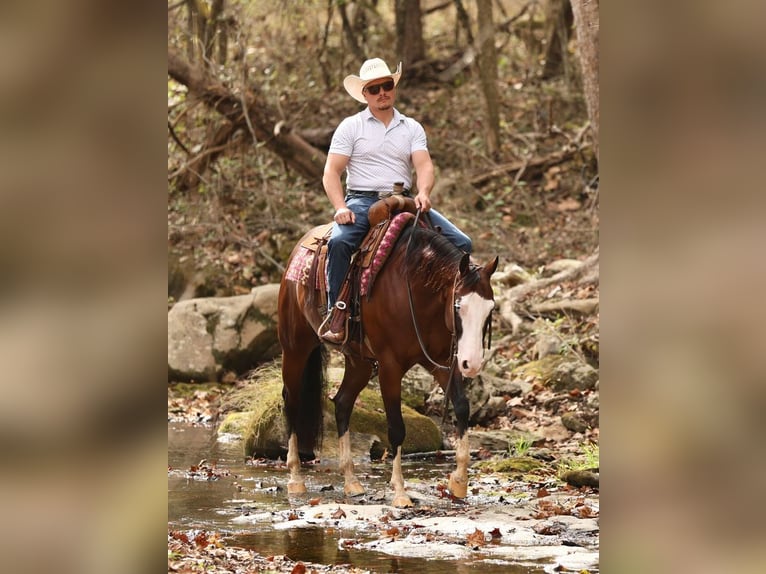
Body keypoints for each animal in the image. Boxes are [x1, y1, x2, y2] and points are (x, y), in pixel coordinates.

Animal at [277, 205, 498, 507]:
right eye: (458, 306)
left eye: (490, 309)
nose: (472, 364)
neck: (415, 290)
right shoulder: (390, 367)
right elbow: (396, 427)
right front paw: (400, 492)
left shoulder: (442, 363)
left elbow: (463, 408)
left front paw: (459, 482)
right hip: (295, 347)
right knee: (292, 401)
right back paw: (296, 479)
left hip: (358, 361)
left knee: (342, 403)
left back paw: (351, 481)